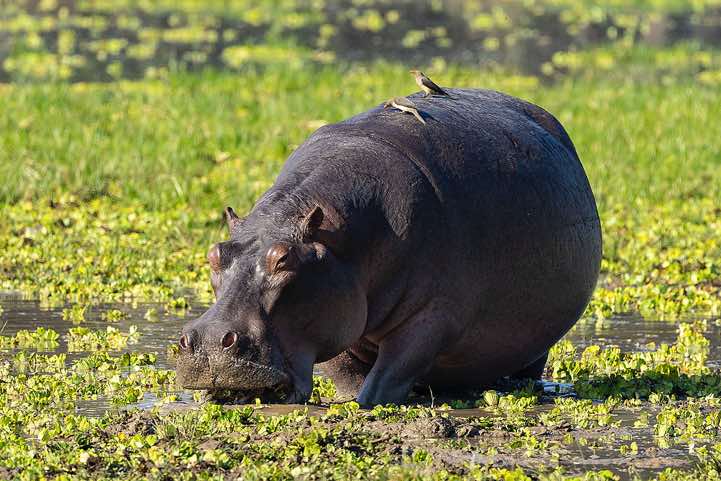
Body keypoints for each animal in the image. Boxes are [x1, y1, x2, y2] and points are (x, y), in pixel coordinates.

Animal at [176, 88, 602, 406]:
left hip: (536, 343)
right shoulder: (335, 312)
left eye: (284, 259)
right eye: (215, 254)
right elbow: (343, 371)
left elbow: (386, 377)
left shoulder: (432, 316)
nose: (210, 342)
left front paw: (364, 403)